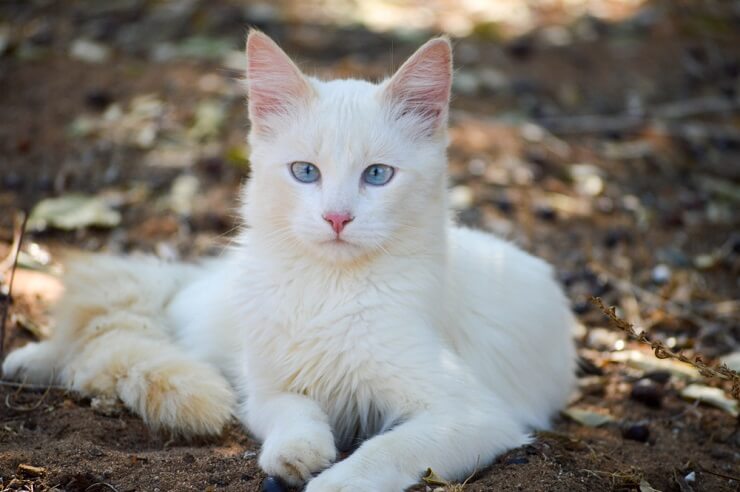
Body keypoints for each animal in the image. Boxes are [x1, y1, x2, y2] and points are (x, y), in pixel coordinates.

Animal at [4, 32, 580, 490]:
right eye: (306, 172)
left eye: (377, 175)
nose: (337, 218)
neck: (328, 289)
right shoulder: (267, 388)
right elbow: (294, 414)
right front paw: (298, 455)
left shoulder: (473, 414)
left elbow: (387, 449)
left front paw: (333, 482)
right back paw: (28, 361)